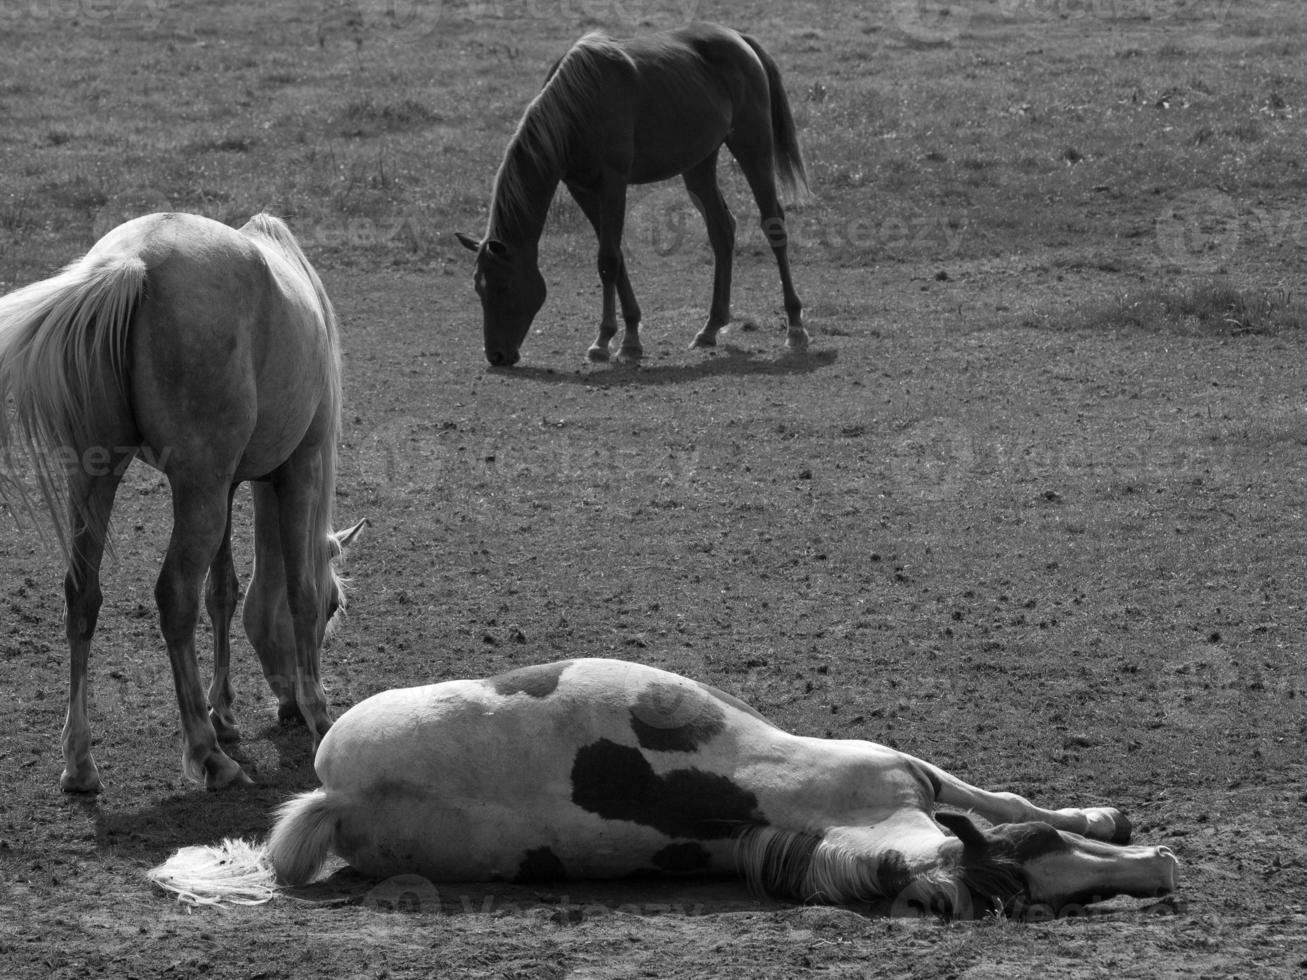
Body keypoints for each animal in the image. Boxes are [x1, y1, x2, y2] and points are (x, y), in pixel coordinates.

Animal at [0, 212, 363, 789]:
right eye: (335, 608)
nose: (286, 705)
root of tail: (133, 263)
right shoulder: (297, 469)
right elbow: (298, 591)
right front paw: (318, 715)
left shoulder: (229, 483)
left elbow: (224, 592)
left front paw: (226, 712)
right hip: (196, 492)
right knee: (174, 597)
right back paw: (207, 753)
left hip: (100, 479)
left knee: (82, 595)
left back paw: (80, 762)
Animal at [457, 23, 805, 368]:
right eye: (477, 287)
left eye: (502, 286)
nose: (496, 355)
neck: (578, 106)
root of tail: (738, 38)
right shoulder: (581, 189)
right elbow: (615, 256)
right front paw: (630, 339)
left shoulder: (613, 183)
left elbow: (608, 260)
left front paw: (604, 341)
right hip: (699, 164)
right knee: (721, 230)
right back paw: (710, 328)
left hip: (753, 147)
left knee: (773, 224)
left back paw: (795, 327)